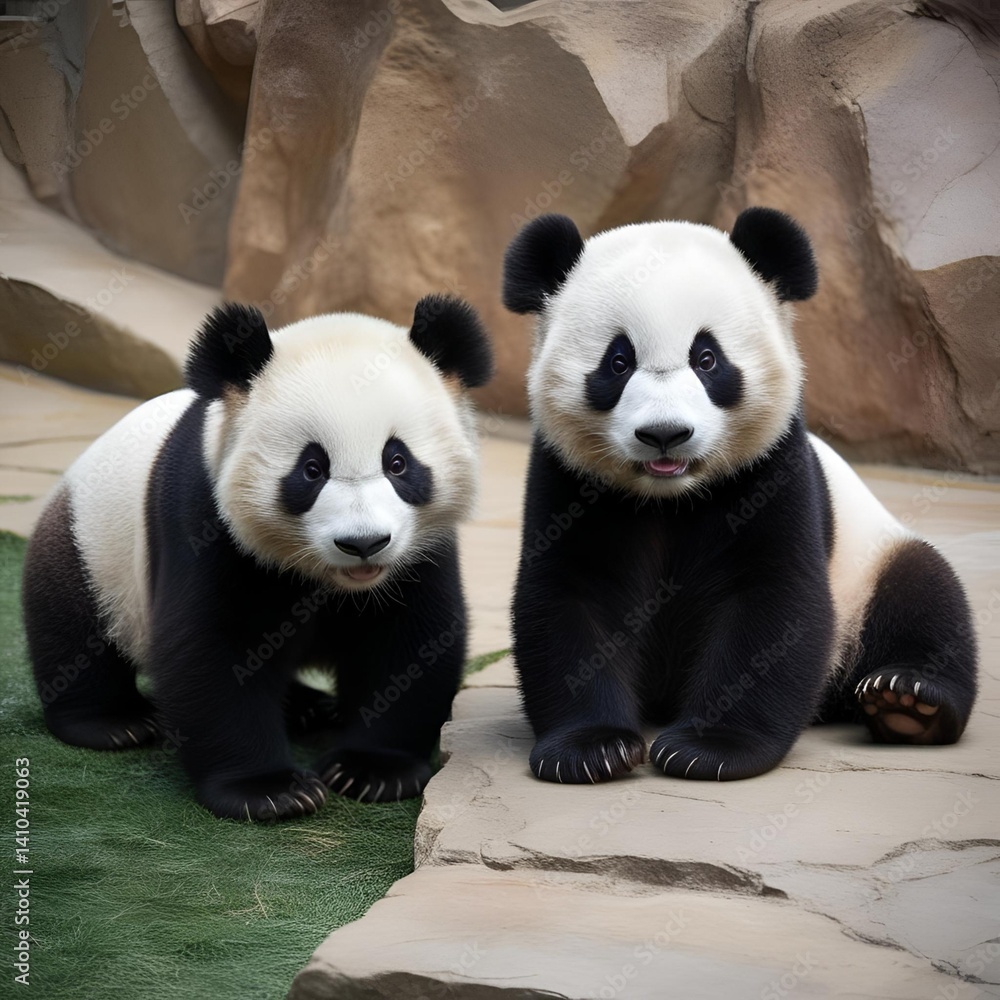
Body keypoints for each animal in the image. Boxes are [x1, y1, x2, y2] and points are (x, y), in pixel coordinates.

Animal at [22, 296, 493, 819]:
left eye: (398, 462)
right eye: (311, 469)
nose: (363, 543)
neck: (333, 581)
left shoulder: (420, 552)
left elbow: (412, 641)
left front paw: (372, 771)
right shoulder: (206, 521)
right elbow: (214, 650)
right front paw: (270, 790)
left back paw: (307, 707)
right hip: (92, 544)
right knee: (73, 627)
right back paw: (112, 723)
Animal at [502, 208, 978, 784]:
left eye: (707, 358)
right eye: (618, 362)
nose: (665, 434)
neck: (670, 497)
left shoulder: (770, 472)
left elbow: (773, 601)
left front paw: (710, 749)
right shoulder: (569, 481)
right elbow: (569, 599)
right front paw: (590, 749)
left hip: (867, 559)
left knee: (924, 592)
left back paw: (908, 703)